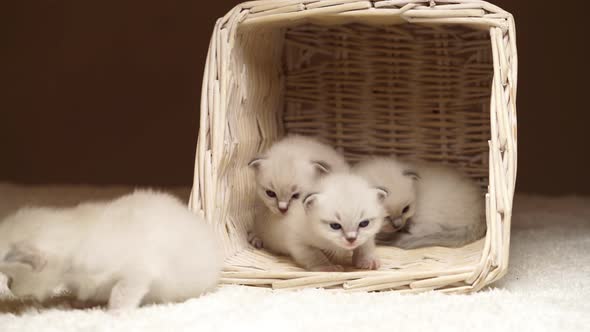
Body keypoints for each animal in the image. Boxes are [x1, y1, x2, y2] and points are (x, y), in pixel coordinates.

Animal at [0, 191, 223, 310]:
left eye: (11, 277)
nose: (8, 287)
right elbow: (84, 293)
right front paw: (75, 302)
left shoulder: (138, 271)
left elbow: (120, 291)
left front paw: (115, 313)